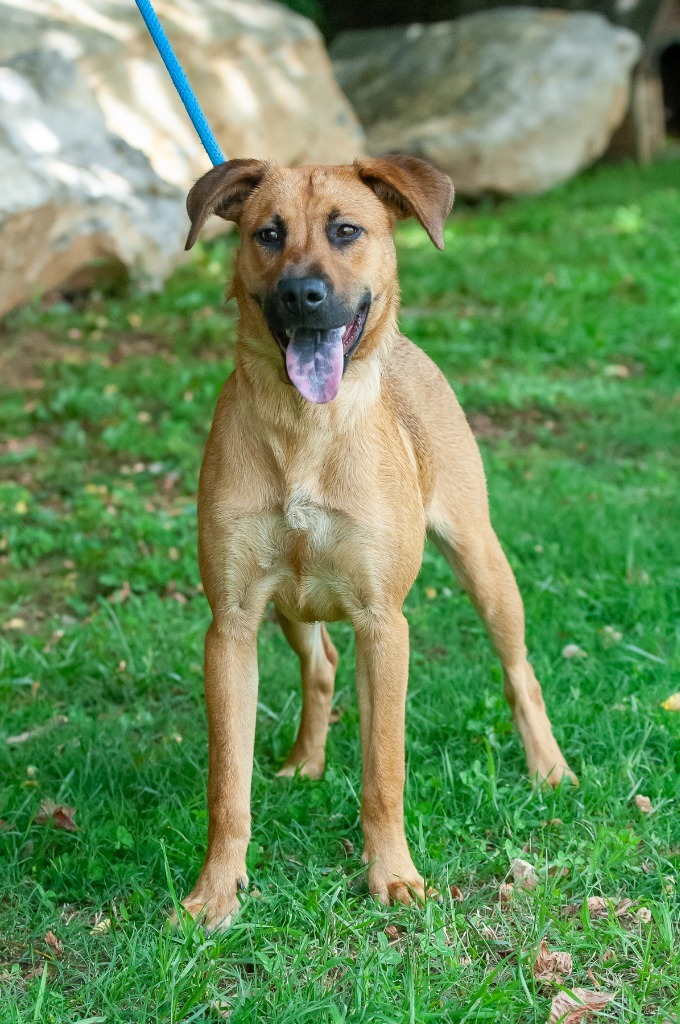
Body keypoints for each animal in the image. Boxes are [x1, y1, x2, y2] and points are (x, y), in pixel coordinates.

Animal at [178, 153, 577, 929]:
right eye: (268, 233)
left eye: (346, 230)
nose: (304, 296)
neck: (305, 427)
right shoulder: (231, 624)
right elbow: (226, 785)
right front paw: (217, 890)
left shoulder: (383, 624)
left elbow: (384, 771)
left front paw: (391, 876)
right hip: (289, 607)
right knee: (321, 664)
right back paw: (305, 761)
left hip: (484, 563)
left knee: (521, 673)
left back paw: (549, 769)